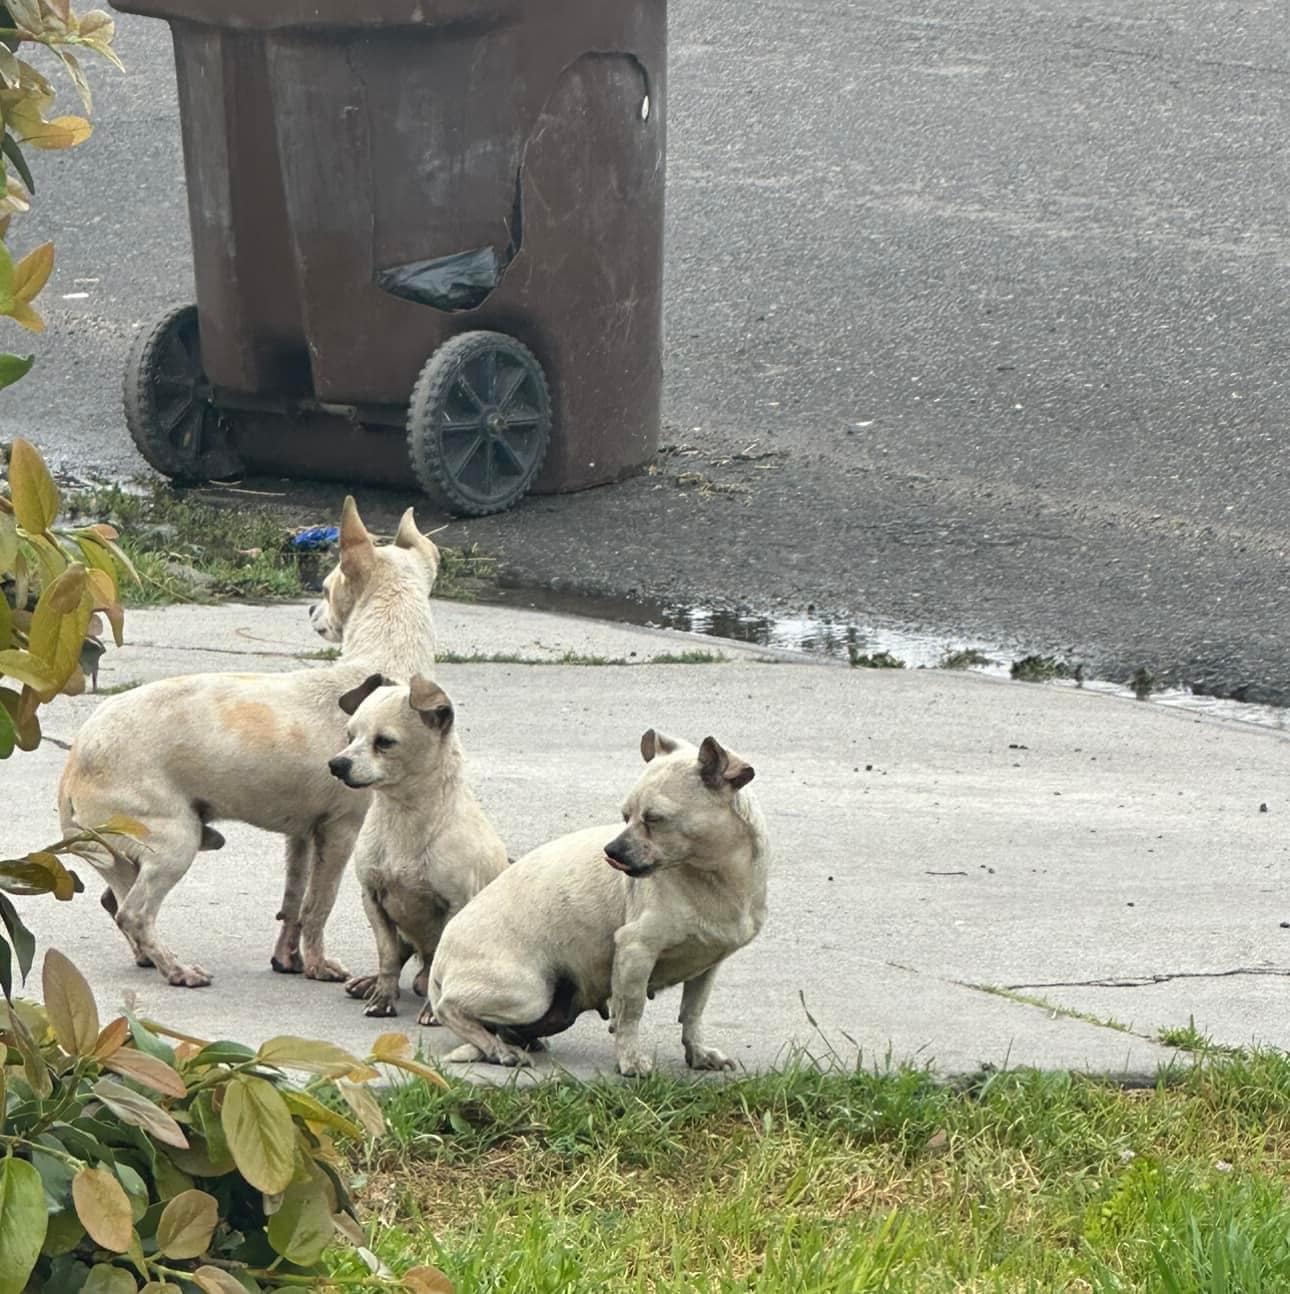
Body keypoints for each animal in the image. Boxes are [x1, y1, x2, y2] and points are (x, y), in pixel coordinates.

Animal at [57, 499, 439, 983]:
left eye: (326, 589)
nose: (310, 608)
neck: (381, 665)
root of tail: (74, 762)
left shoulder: (302, 837)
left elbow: (294, 904)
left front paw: (289, 960)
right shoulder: (340, 831)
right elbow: (321, 904)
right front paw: (318, 965)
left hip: (132, 851)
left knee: (116, 901)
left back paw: (150, 957)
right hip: (176, 841)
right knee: (134, 912)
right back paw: (176, 969)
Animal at [327, 672, 507, 1024]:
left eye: (384, 742)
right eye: (350, 735)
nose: (336, 764)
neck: (403, 816)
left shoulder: (454, 907)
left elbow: (439, 960)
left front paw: (433, 1013)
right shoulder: (374, 899)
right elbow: (387, 957)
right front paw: (383, 999)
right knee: (402, 955)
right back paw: (371, 983)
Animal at [426, 734, 765, 1076]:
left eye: (655, 819)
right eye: (625, 816)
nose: (611, 851)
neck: (714, 878)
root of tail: (438, 960)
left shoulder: (707, 966)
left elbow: (692, 1014)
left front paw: (698, 1053)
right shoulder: (635, 950)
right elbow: (631, 1012)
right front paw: (631, 1060)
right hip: (528, 994)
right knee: (449, 1008)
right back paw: (499, 1050)